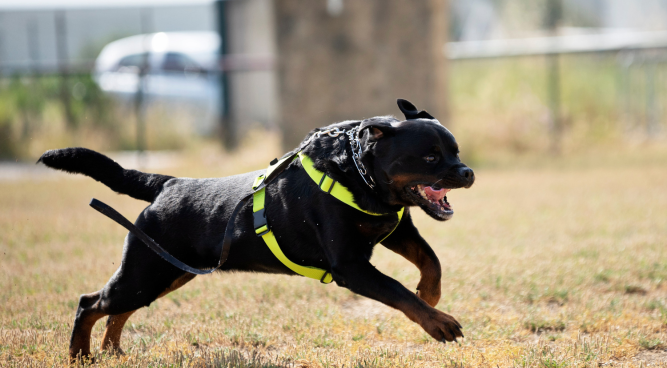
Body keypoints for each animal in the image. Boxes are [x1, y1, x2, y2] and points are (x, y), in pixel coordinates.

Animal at [39, 99, 474, 360]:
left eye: (456, 150)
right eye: (431, 156)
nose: (467, 172)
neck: (359, 175)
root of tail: (167, 184)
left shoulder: (393, 230)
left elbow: (430, 261)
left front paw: (430, 294)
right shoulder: (351, 267)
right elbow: (398, 291)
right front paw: (439, 322)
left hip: (165, 274)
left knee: (117, 310)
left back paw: (112, 351)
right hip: (146, 272)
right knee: (90, 303)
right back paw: (80, 355)